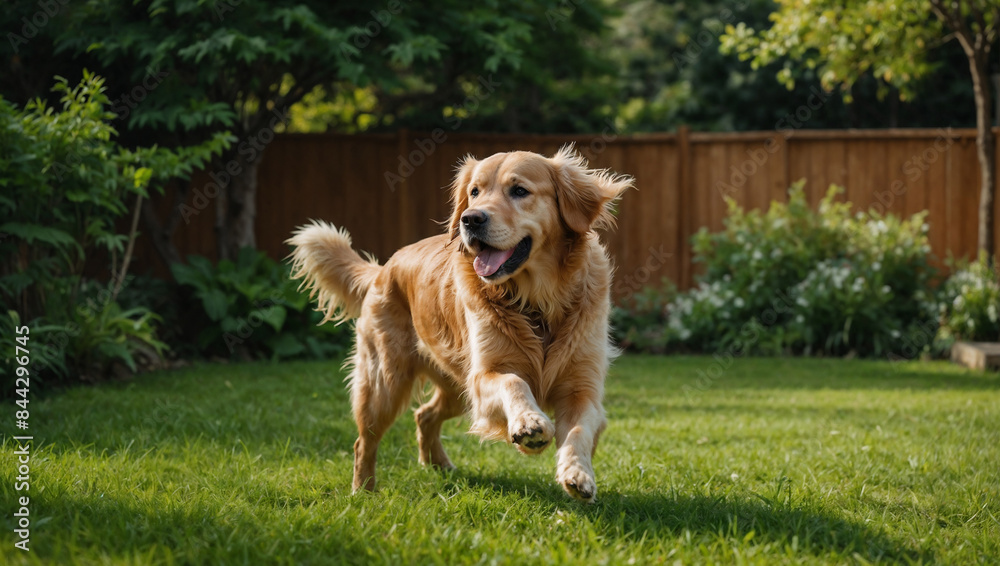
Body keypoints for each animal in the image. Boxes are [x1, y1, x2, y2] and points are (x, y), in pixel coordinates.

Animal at [290, 148, 632, 506]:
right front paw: (529, 422)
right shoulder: (484, 377)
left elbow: (579, 431)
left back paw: (439, 464)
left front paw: (577, 474)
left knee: (424, 415)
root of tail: (383, 268)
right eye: (474, 192)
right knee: (363, 442)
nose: (470, 219)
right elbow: (514, 381)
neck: (538, 300)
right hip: (385, 382)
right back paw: (363, 490)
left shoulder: (583, 389)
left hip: (456, 388)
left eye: (519, 191)